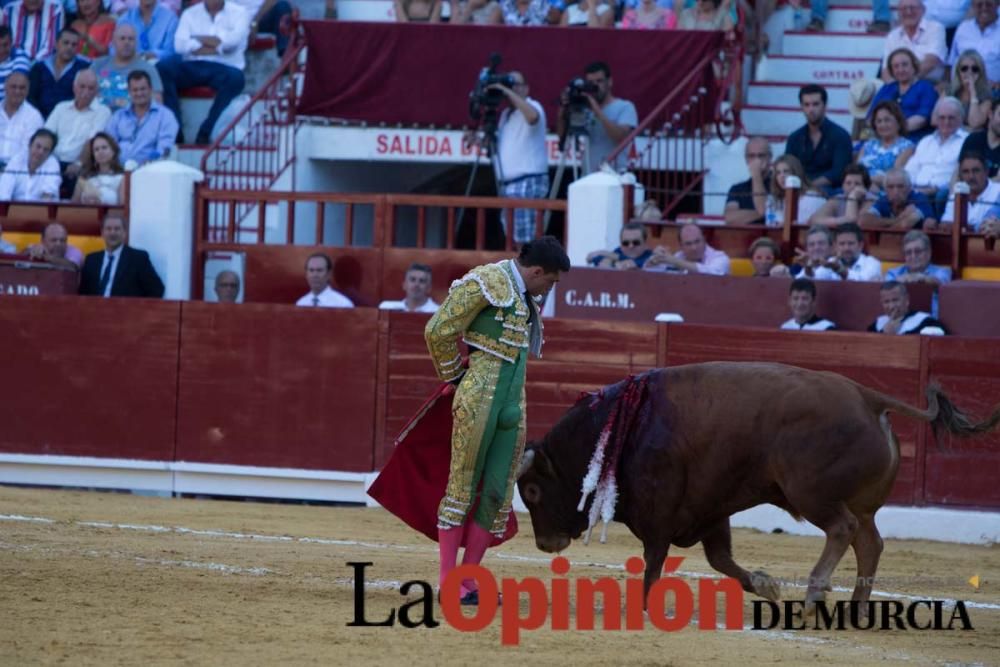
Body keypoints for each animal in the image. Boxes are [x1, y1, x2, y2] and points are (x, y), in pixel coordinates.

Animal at [516, 362, 1000, 612]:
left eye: (533, 493)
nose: (544, 544)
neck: (625, 427)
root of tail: (869, 398)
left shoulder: (659, 514)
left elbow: (654, 561)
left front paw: (643, 604)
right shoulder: (710, 509)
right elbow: (721, 559)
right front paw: (765, 585)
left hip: (812, 493)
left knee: (842, 529)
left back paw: (816, 591)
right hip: (860, 504)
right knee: (870, 542)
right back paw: (859, 605)